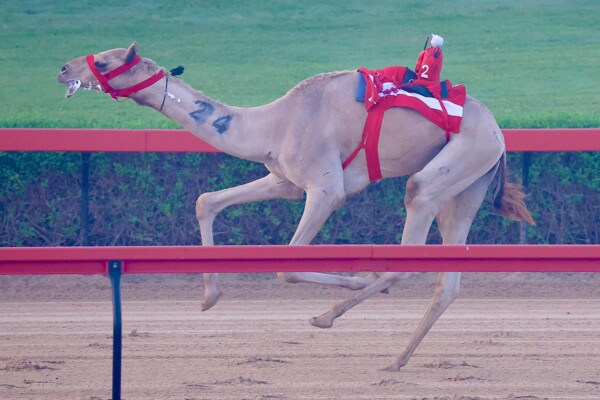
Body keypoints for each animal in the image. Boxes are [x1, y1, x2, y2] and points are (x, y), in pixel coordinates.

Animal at [58, 42, 532, 370]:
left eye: (105, 61)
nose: (63, 68)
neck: (273, 123)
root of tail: (499, 131)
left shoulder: (325, 188)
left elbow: (287, 263)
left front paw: (354, 280)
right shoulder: (284, 180)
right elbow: (206, 200)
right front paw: (210, 297)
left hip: (452, 167)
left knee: (410, 236)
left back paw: (333, 313)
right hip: (468, 186)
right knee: (447, 281)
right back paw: (396, 359)